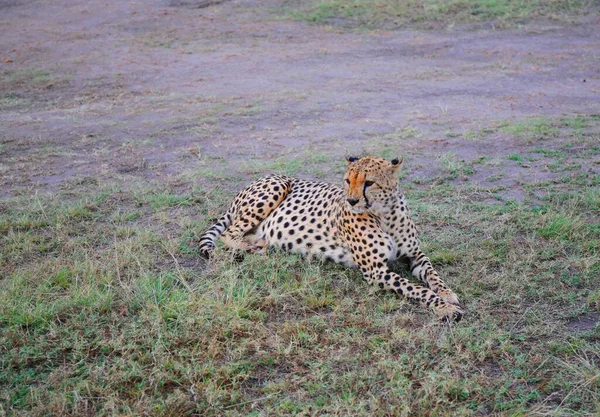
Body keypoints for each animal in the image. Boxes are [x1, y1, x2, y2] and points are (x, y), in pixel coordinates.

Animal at [200, 154, 464, 320]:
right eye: (348, 180)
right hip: (276, 185)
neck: (385, 213)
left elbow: (432, 274)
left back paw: (258, 243)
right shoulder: (375, 270)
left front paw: (448, 294)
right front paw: (445, 307)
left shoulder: (415, 254)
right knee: (228, 234)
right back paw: (251, 247)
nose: (352, 200)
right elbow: (416, 289)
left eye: (369, 182)